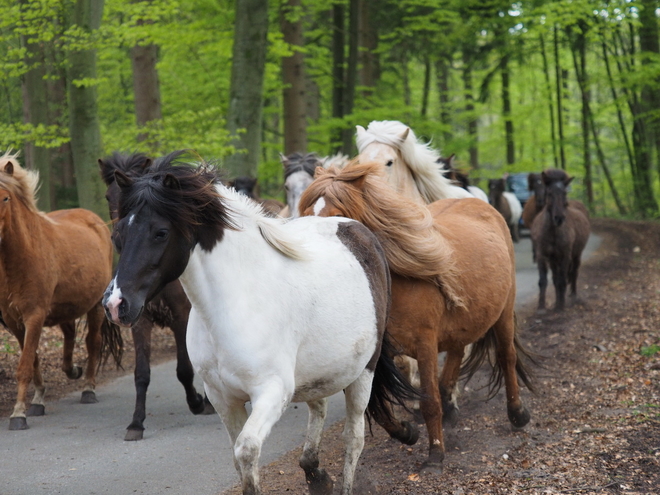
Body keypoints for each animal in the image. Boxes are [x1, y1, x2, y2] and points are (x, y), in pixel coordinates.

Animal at [0, 150, 122, 430]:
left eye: (5, 197)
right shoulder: (15, 322)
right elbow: (32, 359)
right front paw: (37, 400)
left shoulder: (34, 316)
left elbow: (25, 364)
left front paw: (18, 414)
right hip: (65, 308)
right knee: (69, 335)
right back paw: (72, 370)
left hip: (94, 307)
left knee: (92, 343)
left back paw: (88, 388)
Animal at [98, 152, 214, 442]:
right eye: (108, 195)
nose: (117, 236)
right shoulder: (139, 319)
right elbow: (141, 373)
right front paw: (136, 422)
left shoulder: (181, 317)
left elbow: (184, 369)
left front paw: (197, 402)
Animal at [302, 161, 532, 474]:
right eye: (304, 214)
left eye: (337, 215)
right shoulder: (376, 356)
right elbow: (378, 408)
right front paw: (407, 432)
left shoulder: (424, 346)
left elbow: (428, 401)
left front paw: (435, 454)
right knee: (457, 352)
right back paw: (451, 409)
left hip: (504, 313)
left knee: (507, 357)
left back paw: (517, 413)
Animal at [528, 169, 592, 312]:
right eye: (549, 193)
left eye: (564, 193)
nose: (559, 218)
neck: (553, 232)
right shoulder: (542, 256)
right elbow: (544, 280)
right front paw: (542, 307)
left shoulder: (565, 256)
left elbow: (562, 280)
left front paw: (561, 305)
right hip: (553, 260)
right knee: (555, 278)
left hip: (576, 255)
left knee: (573, 273)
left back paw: (573, 296)